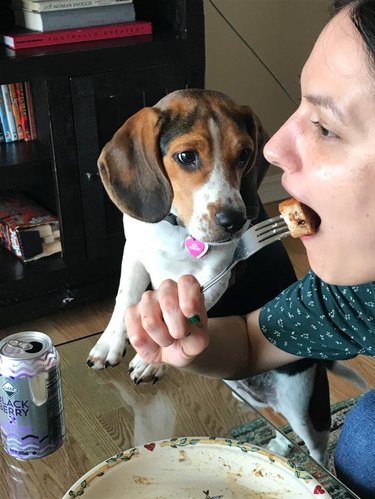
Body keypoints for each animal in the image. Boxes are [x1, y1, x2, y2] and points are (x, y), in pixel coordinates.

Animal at [87, 90, 364, 468]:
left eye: (245, 154)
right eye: (186, 156)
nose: (234, 221)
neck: (177, 227)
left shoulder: (215, 276)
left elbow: (178, 315)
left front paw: (151, 360)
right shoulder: (134, 252)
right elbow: (124, 299)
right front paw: (110, 344)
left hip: (302, 403)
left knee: (315, 446)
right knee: (281, 427)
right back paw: (277, 447)